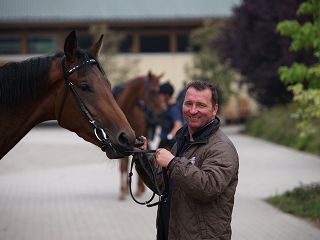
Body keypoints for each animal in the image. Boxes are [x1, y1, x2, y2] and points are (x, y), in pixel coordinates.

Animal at [113, 72, 162, 200]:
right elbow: (123, 165)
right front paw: (122, 190)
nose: (162, 109)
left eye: (159, 90)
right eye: (153, 91)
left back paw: (140, 188)